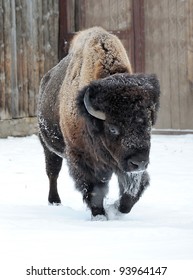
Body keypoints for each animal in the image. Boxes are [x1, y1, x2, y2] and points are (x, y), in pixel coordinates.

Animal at [37, 26, 160, 219]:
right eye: (113, 128)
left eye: (148, 125)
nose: (138, 162)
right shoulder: (81, 157)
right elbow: (93, 189)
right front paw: (100, 215)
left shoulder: (124, 165)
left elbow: (133, 188)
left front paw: (117, 208)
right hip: (47, 147)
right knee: (52, 172)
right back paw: (54, 201)